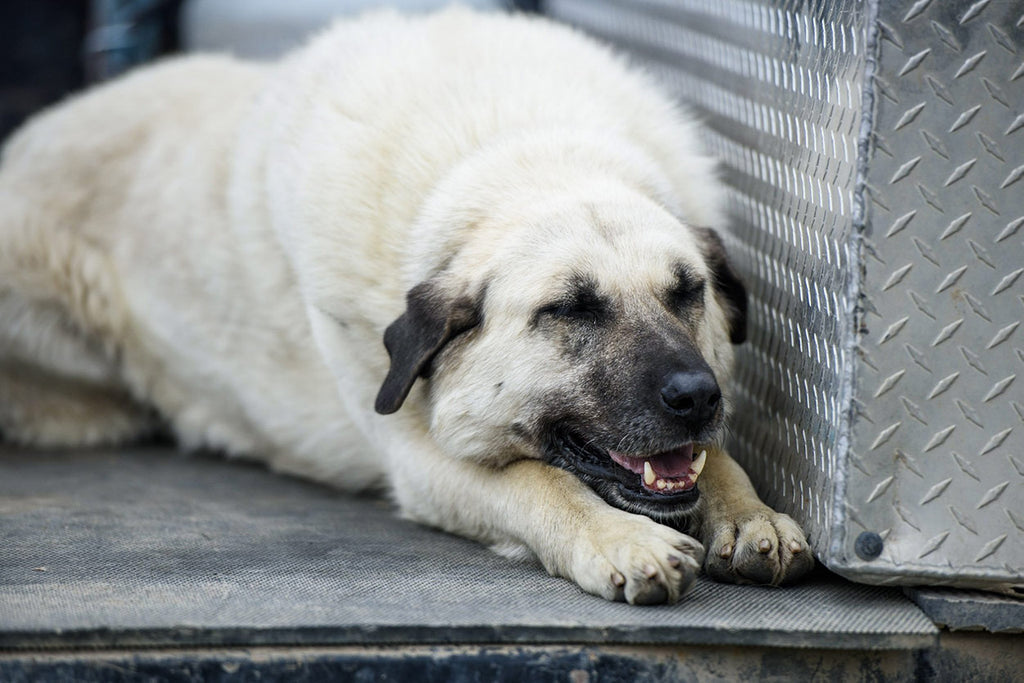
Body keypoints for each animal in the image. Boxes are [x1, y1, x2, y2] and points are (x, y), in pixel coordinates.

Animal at [2, 6, 815, 602]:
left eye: (688, 292)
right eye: (570, 309)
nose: (695, 395)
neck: (521, 153)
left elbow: (712, 457)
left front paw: (749, 513)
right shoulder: (420, 458)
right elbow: (539, 481)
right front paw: (619, 538)